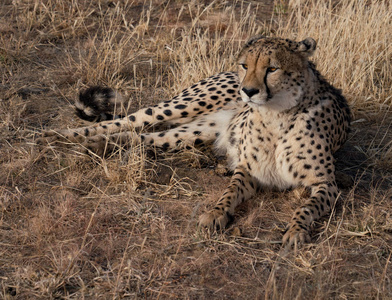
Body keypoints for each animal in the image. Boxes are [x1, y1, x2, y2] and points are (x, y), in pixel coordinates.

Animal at [39, 35, 352, 246]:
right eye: (245, 65)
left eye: (272, 68)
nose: (248, 91)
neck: (276, 115)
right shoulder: (247, 170)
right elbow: (229, 191)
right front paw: (215, 214)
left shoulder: (326, 184)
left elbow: (306, 207)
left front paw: (296, 230)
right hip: (181, 107)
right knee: (126, 120)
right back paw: (57, 135)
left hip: (193, 133)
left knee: (138, 136)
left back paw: (95, 146)